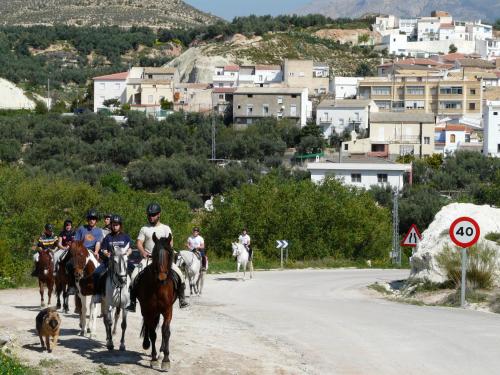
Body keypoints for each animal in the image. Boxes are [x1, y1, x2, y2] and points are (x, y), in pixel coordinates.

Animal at [135, 234, 178, 372]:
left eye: (169, 253)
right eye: (154, 254)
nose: (161, 278)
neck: (158, 287)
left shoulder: (168, 310)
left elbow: (166, 332)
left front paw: (165, 360)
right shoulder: (149, 310)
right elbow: (153, 333)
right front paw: (154, 360)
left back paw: (161, 351)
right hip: (147, 310)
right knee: (148, 326)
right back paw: (146, 344)